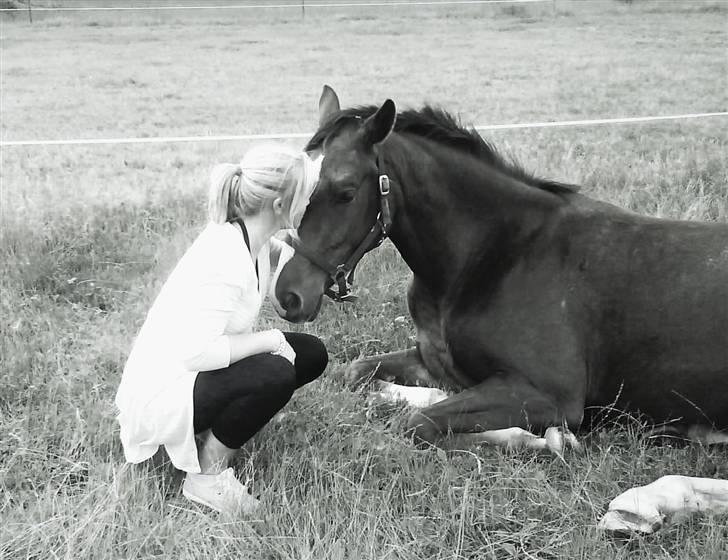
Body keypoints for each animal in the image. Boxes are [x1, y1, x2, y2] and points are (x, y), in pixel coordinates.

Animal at [270, 86, 724, 456]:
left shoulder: (549, 396)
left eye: (346, 192)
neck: (493, 256)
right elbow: (355, 372)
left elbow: (420, 423)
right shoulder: (436, 363)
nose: (288, 296)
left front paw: (543, 440)